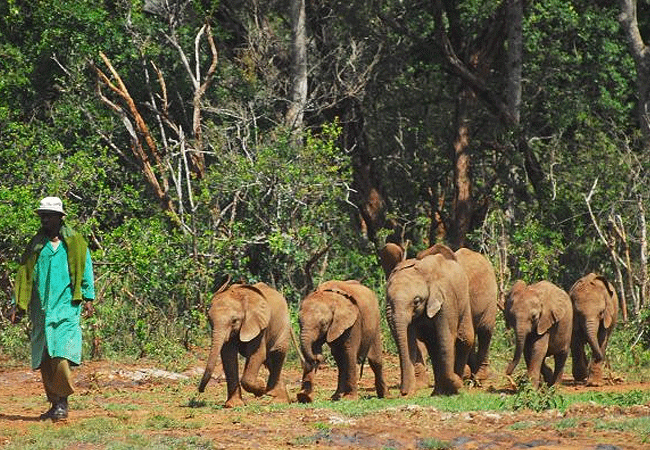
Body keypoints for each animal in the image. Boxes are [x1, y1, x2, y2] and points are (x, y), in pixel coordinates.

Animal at [382, 255, 474, 396]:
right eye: (389, 299)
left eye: (416, 301)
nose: (402, 392)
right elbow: (409, 343)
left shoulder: (447, 299)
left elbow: (446, 339)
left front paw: (456, 386)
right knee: (433, 347)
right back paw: (437, 393)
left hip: (464, 298)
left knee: (465, 339)